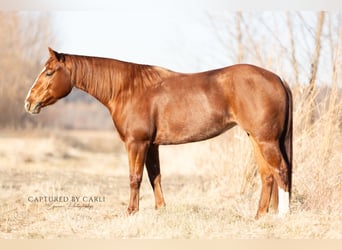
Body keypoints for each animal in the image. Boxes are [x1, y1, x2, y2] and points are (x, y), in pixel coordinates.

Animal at [25, 47, 292, 219]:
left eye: (49, 72)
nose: (29, 103)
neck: (128, 89)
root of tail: (278, 78)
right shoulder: (152, 145)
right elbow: (155, 176)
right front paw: (160, 210)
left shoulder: (137, 143)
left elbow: (135, 178)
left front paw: (131, 212)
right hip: (256, 139)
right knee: (267, 175)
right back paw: (260, 216)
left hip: (265, 140)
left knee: (280, 170)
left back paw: (283, 215)